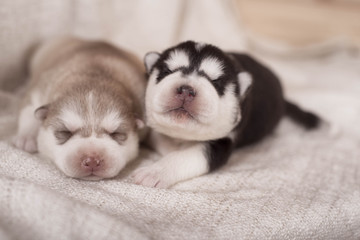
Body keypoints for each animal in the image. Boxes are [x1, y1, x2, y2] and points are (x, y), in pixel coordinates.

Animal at [13, 37, 146, 180]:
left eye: (116, 133)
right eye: (65, 132)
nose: (92, 160)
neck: (93, 79)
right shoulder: (40, 90)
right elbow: (29, 111)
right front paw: (26, 138)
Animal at [134, 40, 320, 188]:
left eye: (216, 82)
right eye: (167, 71)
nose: (186, 90)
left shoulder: (221, 143)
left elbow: (183, 157)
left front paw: (154, 172)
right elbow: (160, 138)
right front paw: (171, 145)